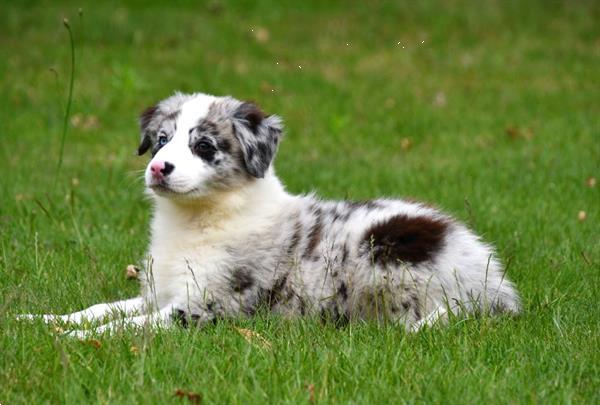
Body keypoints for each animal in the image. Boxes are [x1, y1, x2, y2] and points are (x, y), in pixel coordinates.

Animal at [19, 91, 520, 334]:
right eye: (162, 140)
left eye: (204, 146)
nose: (159, 168)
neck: (197, 219)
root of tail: (493, 280)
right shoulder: (159, 291)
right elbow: (100, 308)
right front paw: (42, 323)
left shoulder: (207, 307)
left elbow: (129, 327)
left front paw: (71, 341)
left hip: (391, 251)